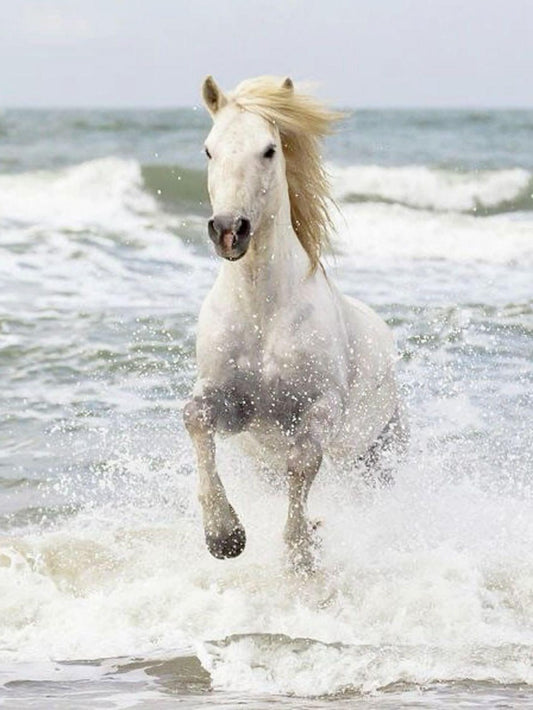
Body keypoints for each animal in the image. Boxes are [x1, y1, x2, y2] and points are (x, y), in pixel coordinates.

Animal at [184, 75, 406, 570]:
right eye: (209, 149)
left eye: (269, 150)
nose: (229, 230)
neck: (262, 314)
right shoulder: (230, 404)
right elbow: (195, 419)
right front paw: (224, 536)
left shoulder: (319, 408)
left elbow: (302, 462)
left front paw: (301, 550)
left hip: (377, 456)